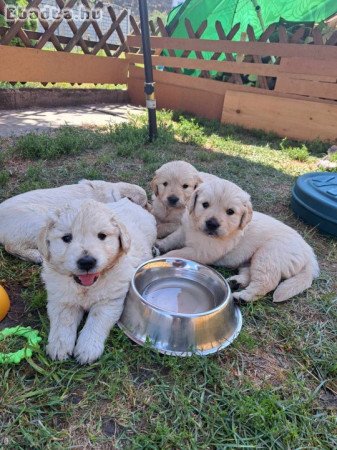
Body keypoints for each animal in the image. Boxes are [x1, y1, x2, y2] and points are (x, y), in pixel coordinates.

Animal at [38, 199, 156, 364]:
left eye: (102, 236)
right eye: (67, 238)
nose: (87, 262)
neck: (86, 286)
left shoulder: (109, 301)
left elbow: (96, 321)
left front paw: (87, 349)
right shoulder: (62, 300)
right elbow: (64, 321)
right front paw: (59, 346)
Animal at [158, 179, 318, 302]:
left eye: (230, 212)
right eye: (205, 204)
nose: (212, 224)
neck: (198, 230)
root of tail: (309, 253)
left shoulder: (203, 252)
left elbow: (178, 253)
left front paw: (162, 258)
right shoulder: (184, 231)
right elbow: (171, 239)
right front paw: (159, 245)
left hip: (268, 255)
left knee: (266, 282)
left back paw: (244, 297)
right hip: (249, 259)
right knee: (250, 273)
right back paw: (236, 282)